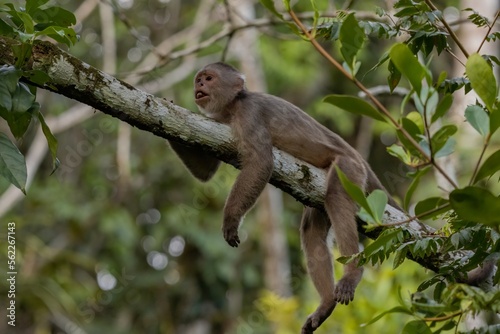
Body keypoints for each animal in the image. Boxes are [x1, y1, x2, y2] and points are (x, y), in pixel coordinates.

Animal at [168, 62, 398, 332]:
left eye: (209, 78)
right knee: (312, 231)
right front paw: (169, 110)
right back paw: (326, 303)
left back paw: (352, 274)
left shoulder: (249, 114)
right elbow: (206, 172)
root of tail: (359, 157)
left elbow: (261, 163)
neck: (233, 106)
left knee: (336, 198)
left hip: (349, 169)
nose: (200, 85)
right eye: (199, 80)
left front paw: (231, 219)